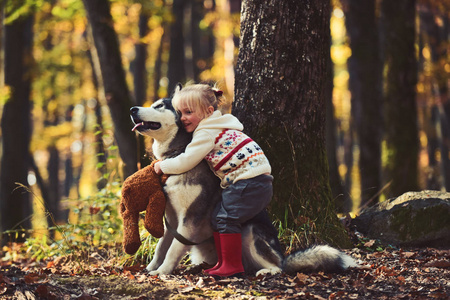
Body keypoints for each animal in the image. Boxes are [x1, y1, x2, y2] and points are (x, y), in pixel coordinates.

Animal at [130, 99, 358, 276]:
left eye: (159, 106)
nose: (132, 109)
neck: (178, 151)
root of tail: (283, 256)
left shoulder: (190, 219)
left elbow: (173, 248)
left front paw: (163, 271)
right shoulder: (171, 220)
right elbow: (161, 247)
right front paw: (150, 268)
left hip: (251, 232)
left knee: (278, 267)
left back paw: (266, 270)